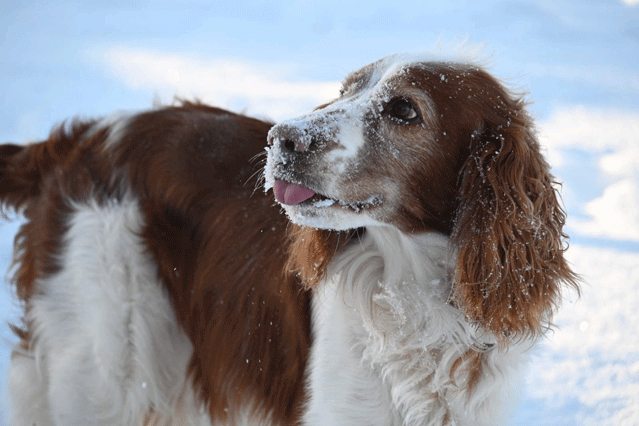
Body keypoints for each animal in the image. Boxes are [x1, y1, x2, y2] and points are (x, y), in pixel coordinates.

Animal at [0, 55, 576, 424]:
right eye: (345, 91)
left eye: (403, 110)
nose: (281, 138)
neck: (420, 295)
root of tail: (79, 138)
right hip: (100, 369)